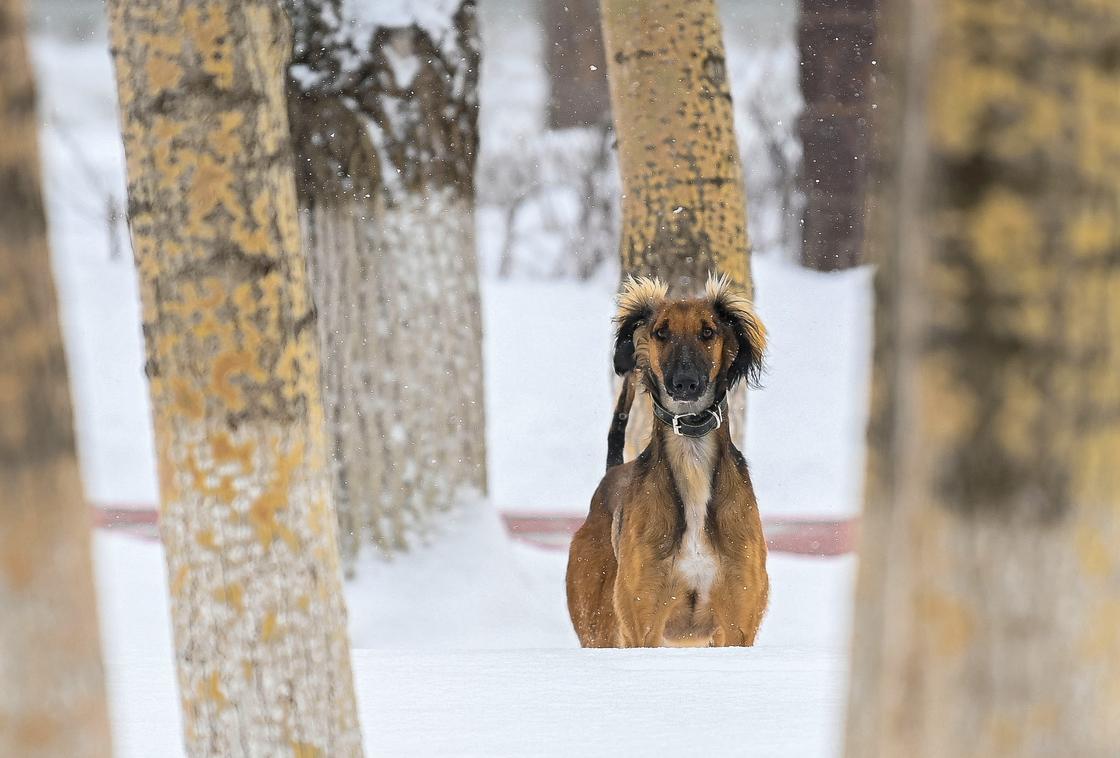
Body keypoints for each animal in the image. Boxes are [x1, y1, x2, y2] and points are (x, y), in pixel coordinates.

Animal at [568, 275, 770, 649]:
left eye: (708, 332)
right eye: (661, 332)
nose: (685, 383)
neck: (691, 454)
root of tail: (613, 472)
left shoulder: (738, 623)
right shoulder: (642, 622)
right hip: (598, 624)